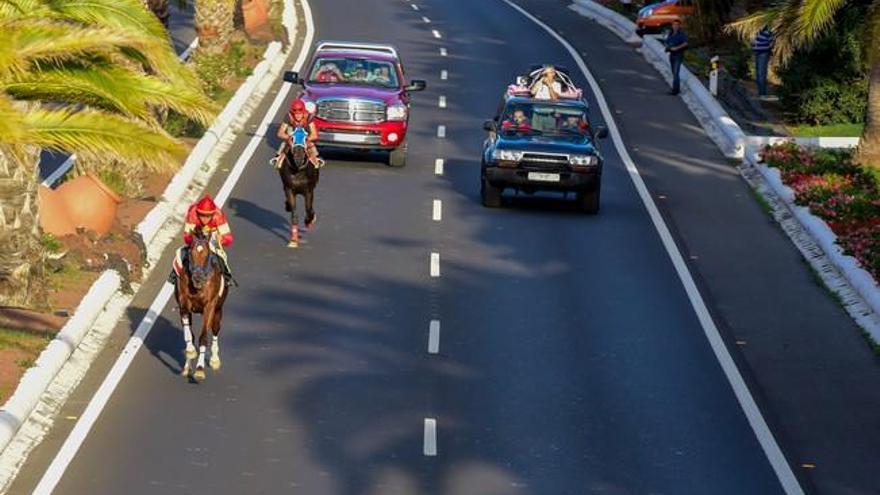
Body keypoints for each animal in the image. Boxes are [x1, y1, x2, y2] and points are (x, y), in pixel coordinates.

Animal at [174, 231, 229, 382]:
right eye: (191, 252)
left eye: (207, 253)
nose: (197, 277)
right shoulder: (184, 303)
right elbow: (189, 335)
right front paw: (190, 353)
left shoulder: (209, 306)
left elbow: (203, 337)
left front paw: (199, 369)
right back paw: (187, 367)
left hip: (218, 310)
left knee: (215, 330)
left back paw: (215, 360)